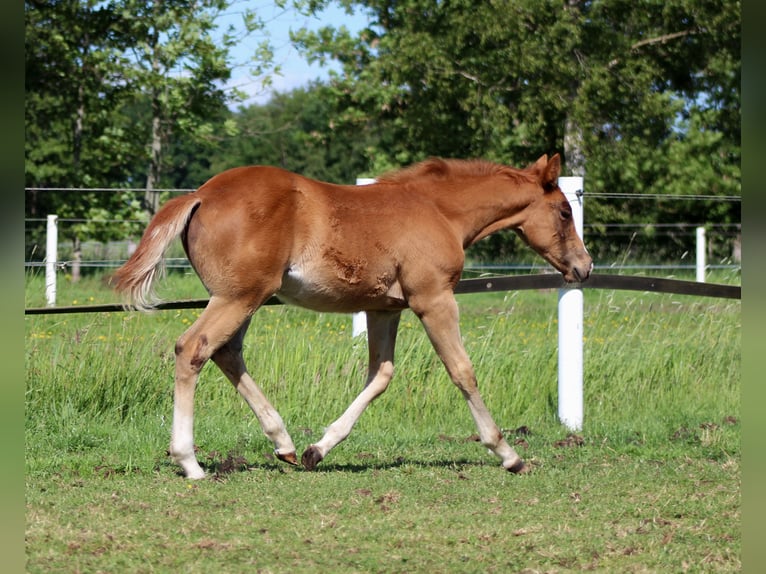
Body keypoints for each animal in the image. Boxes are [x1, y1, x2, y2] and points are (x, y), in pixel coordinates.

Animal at [113, 154, 592, 479]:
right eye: (565, 211)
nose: (583, 268)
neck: (439, 210)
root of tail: (201, 194)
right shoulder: (433, 298)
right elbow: (462, 370)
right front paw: (507, 453)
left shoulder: (383, 308)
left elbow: (380, 375)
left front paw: (317, 450)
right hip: (238, 297)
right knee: (193, 348)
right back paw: (190, 462)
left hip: (239, 298)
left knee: (226, 353)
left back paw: (285, 444)